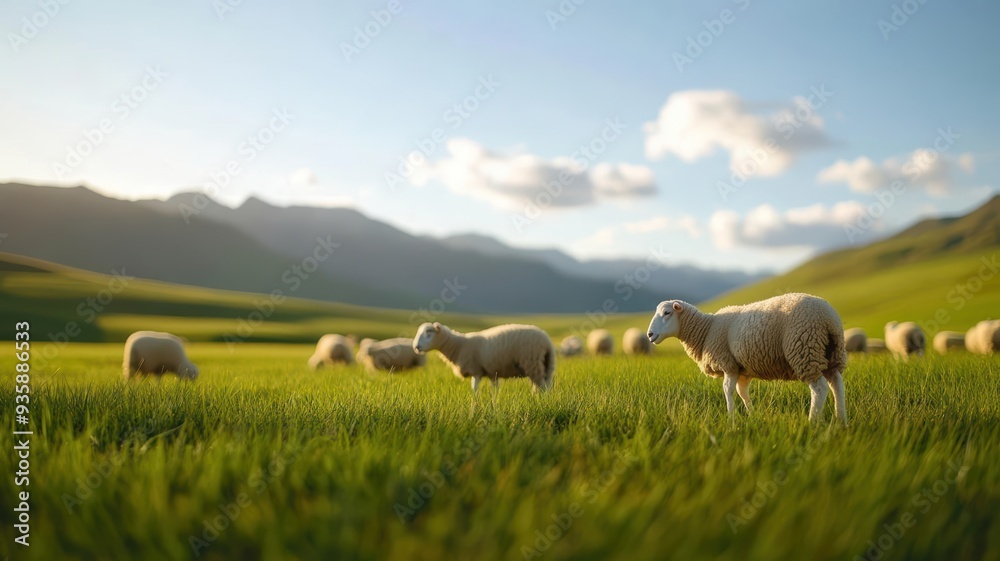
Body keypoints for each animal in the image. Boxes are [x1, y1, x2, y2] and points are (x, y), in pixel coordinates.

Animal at [412, 322, 555, 392]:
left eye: (429, 333)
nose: (416, 347)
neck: (459, 345)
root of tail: (546, 340)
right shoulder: (492, 372)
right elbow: (494, 390)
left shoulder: (476, 370)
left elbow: (474, 389)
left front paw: (474, 406)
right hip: (545, 365)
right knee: (544, 386)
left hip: (532, 362)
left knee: (542, 387)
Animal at [646, 293, 847, 424]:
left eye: (667, 313)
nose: (649, 335)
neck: (706, 330)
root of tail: (829, 317)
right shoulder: (742, 369)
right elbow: (743, 393)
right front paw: (752, 415)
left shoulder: (728, 364)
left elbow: (728, 390)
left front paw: (731, 418)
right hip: (831, 354)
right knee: (837, 384)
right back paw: (841, 421)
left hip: (805, 350)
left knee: (820, 388)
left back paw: (812, 422)